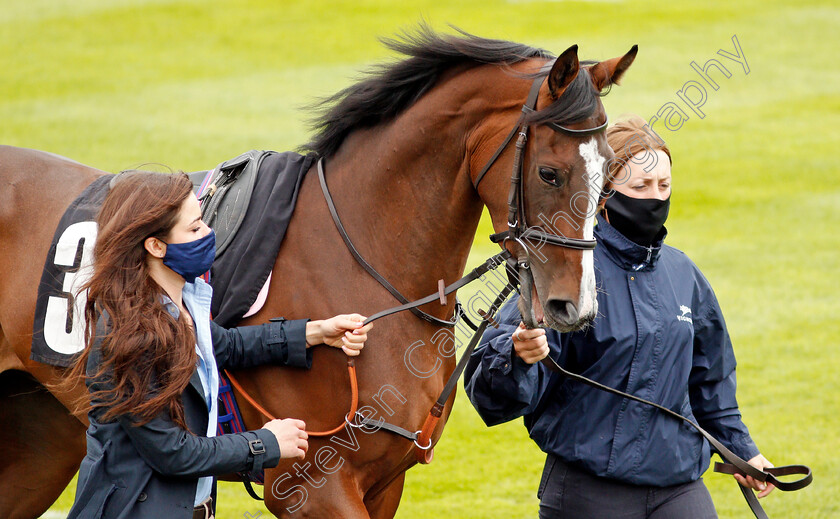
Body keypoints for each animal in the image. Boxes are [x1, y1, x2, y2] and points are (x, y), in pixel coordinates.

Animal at [0, 29, 632, 519]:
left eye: (607, 176)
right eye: (549, 173)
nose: (573, 307)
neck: (365, 262)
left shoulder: (385, 480)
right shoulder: (310, 486)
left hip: (43, 432)